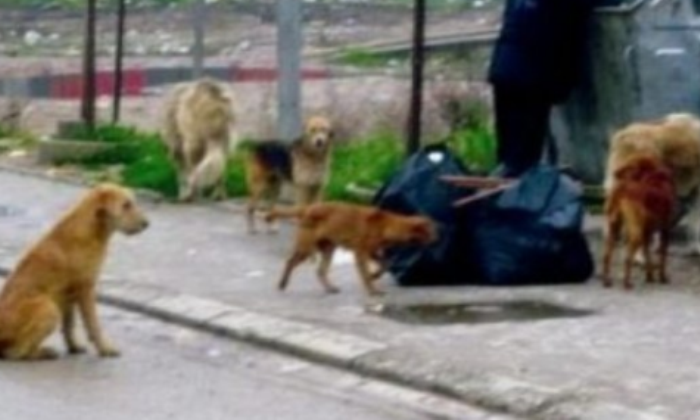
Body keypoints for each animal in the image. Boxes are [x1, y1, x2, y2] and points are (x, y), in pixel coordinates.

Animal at [0, 184, 149, 361]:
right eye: (126, 205)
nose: (147, 223)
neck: (92, 227)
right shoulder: (86, 288)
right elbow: (93, 324)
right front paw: (105, 348)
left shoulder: (69, 294)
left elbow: (69, 325)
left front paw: (74, 347)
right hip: (48, 307)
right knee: (16, 352)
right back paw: (44, 352)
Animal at [267, 202, 436, 296]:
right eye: (429, 232)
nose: (436, 239)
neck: (387, 225)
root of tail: (308, 207)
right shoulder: (360, 253)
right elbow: (366, 275)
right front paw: (373, 290)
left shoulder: (372, 252)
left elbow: (385, 264)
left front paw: (375, 275)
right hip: (306, 248)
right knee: (289, 262)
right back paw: (282, 283)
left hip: (328, 249)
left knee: (320, 271)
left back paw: (330, 288)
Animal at [602, 155, 676, 290]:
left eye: (629, 165)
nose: (615, 173)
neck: (653, 176)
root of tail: (621, 189)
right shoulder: (665, 229)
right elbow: (663, 256)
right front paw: (662, 278)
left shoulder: (647, 232)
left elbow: (648, 255)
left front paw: (650, 277)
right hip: (636, 234)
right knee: (627, 258)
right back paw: (627, 283)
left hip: (614, 229)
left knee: (606, 256)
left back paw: (606, 281)